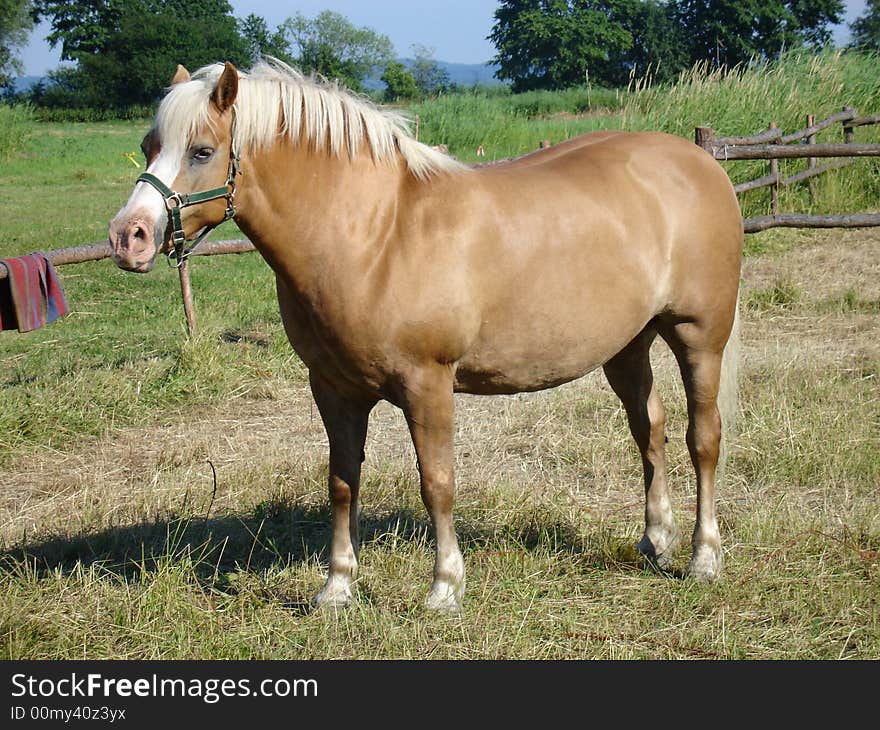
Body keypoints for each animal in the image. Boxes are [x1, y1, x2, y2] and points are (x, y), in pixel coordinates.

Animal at [110, 59, 744, 612]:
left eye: (202, 150)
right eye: (149, 145)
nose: (128, 236)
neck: (375, 233)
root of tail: (701, 161)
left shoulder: (428, 386)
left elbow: (437, 482)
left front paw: (445, 588)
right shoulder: (334, 390)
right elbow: (342, 482)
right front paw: (337, 589)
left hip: (698, 338)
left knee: (703, 438)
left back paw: (703, 557)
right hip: (627, 346)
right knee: (650, 431)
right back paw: (655, 540)